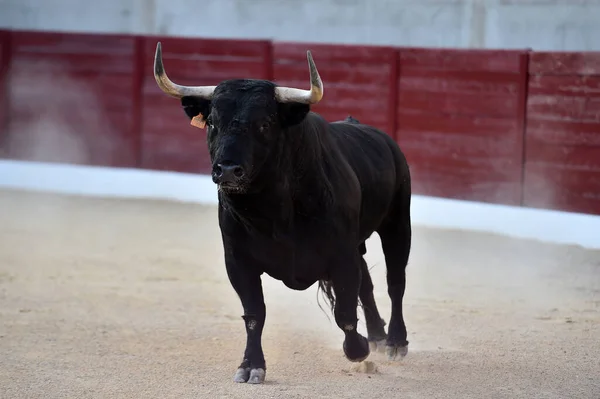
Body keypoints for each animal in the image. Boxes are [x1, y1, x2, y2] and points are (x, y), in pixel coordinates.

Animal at [154, 43, 412, 384]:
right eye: (211, 123)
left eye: (264, 124)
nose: (228, 170)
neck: (274, 213)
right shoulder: (238, 260)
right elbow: (254, 313)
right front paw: (250, 366)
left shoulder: (341, 255)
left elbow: (345, 311)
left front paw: (358, 350)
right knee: (368, 285)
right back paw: (378, 337)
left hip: (398, 223)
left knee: (395, 281)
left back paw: (395, 341)